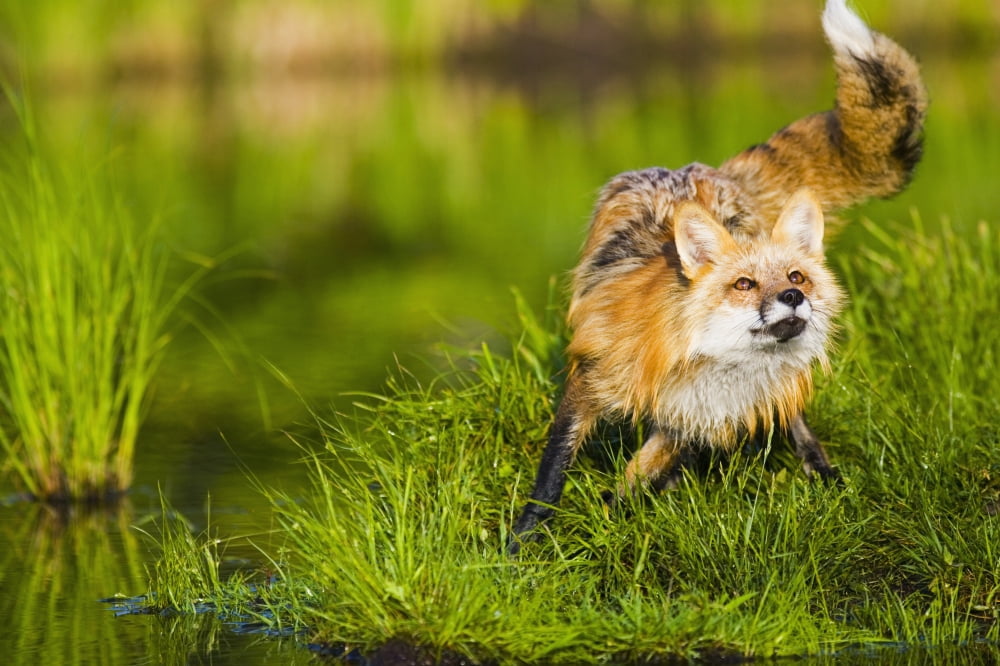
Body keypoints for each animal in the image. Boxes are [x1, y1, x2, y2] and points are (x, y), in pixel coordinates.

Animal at [509, 0, 927, 553]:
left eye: (797, 276)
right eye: (743, 284)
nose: (792, 296)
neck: (709, 365)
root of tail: (703, 170)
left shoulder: (689, 418)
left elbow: (635, 477)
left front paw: (613, 520)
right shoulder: (592, 381)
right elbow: (553, 476)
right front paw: (523, 542)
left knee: (795, 419)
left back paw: (823, 474)